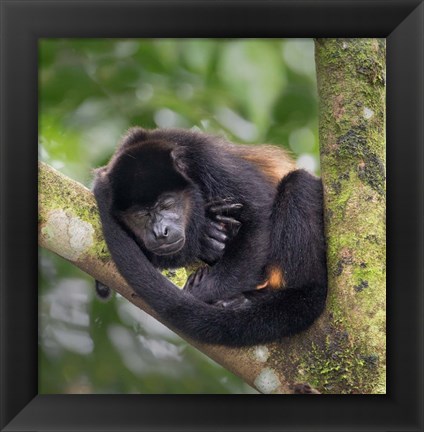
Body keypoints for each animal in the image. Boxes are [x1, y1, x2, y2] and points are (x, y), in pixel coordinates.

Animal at [93, 126, 328, 346]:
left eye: (167, 204)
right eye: (140, 215)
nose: (160, 232)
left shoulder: (206, 158)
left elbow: (260, 215)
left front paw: (201, 292)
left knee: (298, 183)